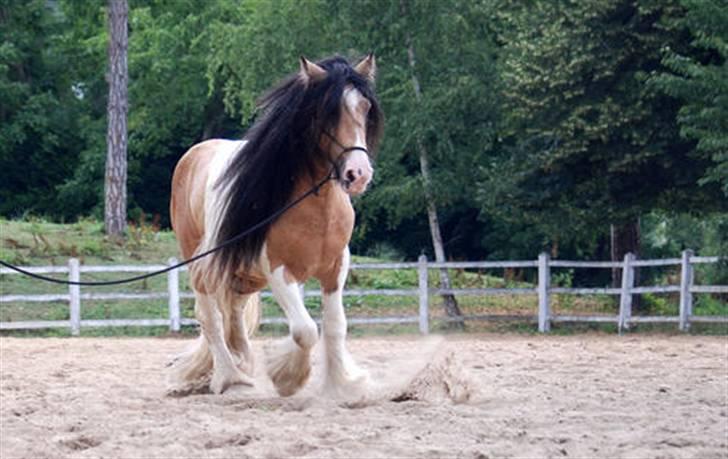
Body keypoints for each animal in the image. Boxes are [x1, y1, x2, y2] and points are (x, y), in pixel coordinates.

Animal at [165, 55, 382, 398]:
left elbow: (335, 327)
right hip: (202, 268)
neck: (316, 207)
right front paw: (288, 377)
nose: (357, 174)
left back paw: (241, 361)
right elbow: (305, 330)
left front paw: (342, 385)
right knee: (210, 318)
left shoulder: (336, 267)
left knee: (234, 315)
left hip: (243, 276)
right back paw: (231, 378)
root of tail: (193, 155)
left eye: (365, 107)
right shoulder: (278, 269)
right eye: (327, 111)